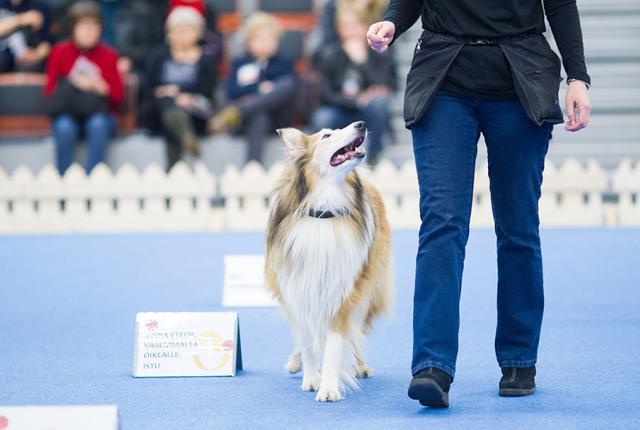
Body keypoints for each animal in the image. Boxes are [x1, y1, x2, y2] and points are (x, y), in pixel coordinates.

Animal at [264, 119, 396, 402]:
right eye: (326, 136)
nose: (361, 124)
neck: (324, 211)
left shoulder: (342, 292)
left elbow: (334, 344)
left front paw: (328, 386)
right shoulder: (296, 288)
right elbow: (306, 342)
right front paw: (311, 377)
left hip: (367, 288)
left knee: (355, 333)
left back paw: (360, 365)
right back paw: (295, 363)